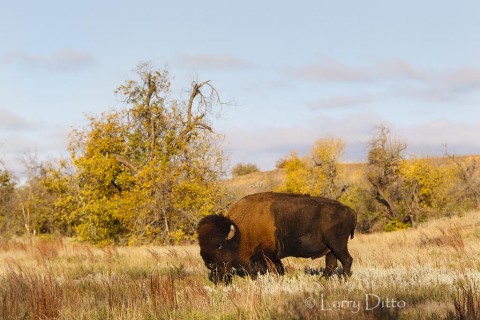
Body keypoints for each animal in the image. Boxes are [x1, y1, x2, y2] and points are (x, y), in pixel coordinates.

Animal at [196, 191, 356, 284]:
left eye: (220, 245)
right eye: (201, 245)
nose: (210, 264)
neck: (240, 231)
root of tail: (348, 209)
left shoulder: (265, 255)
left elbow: (269, 269)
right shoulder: (270, 257)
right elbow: (277, 269)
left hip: (337, 245)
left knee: (346, 260)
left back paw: (345, 281)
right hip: (330, 248)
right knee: (331, 264)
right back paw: (321, 280)